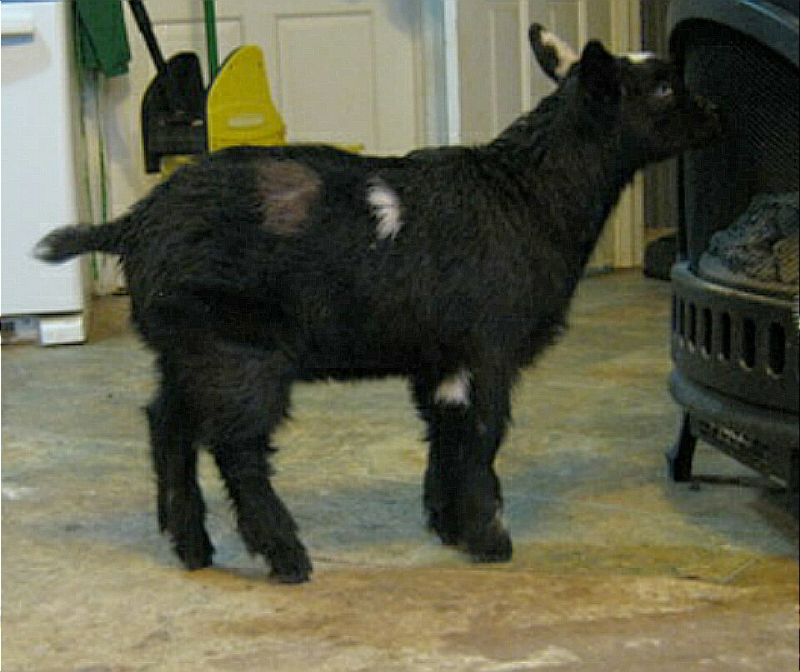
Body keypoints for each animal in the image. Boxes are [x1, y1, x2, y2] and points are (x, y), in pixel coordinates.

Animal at [35, 26, 721, 583]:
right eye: (663, 87)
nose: (714, 112)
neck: (527, 193)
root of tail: (132, 224)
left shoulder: (440, 356)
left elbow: (446, 435)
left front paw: (447, 524)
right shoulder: (485, 348)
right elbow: (483, 436)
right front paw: (488, 537)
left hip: (185, 348)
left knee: (167, 425)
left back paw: (193, 547)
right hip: (238, 351)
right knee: (236, 447)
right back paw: (286, 556)